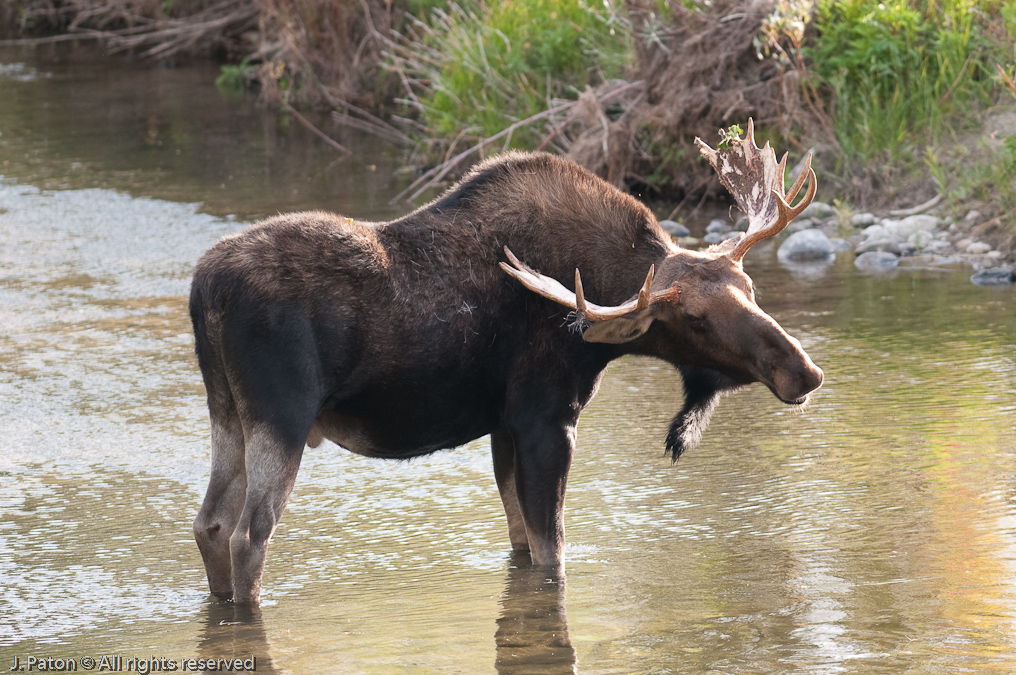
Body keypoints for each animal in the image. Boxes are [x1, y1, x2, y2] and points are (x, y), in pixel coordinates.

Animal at [191, 122, 824, 605]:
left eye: (749, 285)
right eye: (693, 319)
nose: (804, 371)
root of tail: (204, 290)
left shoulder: (503, 425)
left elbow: (520, 540)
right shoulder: (548, 417)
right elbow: (552, 549)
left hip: (227, 412)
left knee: (211, 524)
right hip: (283, 415)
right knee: (250, 535)